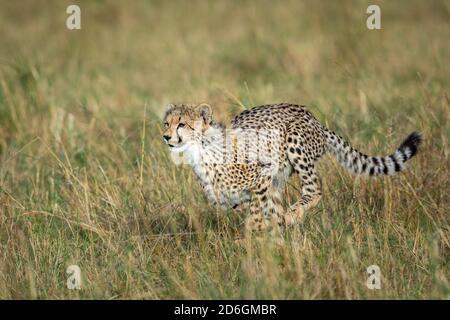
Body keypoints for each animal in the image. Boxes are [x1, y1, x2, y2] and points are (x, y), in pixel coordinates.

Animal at [163, 102, 422, 238]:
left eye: (182, 124)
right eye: (167, 123)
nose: (166, 136)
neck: (201, 152)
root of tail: (312, 117)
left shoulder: (263, 172)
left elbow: (258, 212)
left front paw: (258, 232)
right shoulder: (238, 198)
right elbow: (260, 209)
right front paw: (269, 233)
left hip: (294, 142)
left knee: (314, 189)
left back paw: (292, 215)